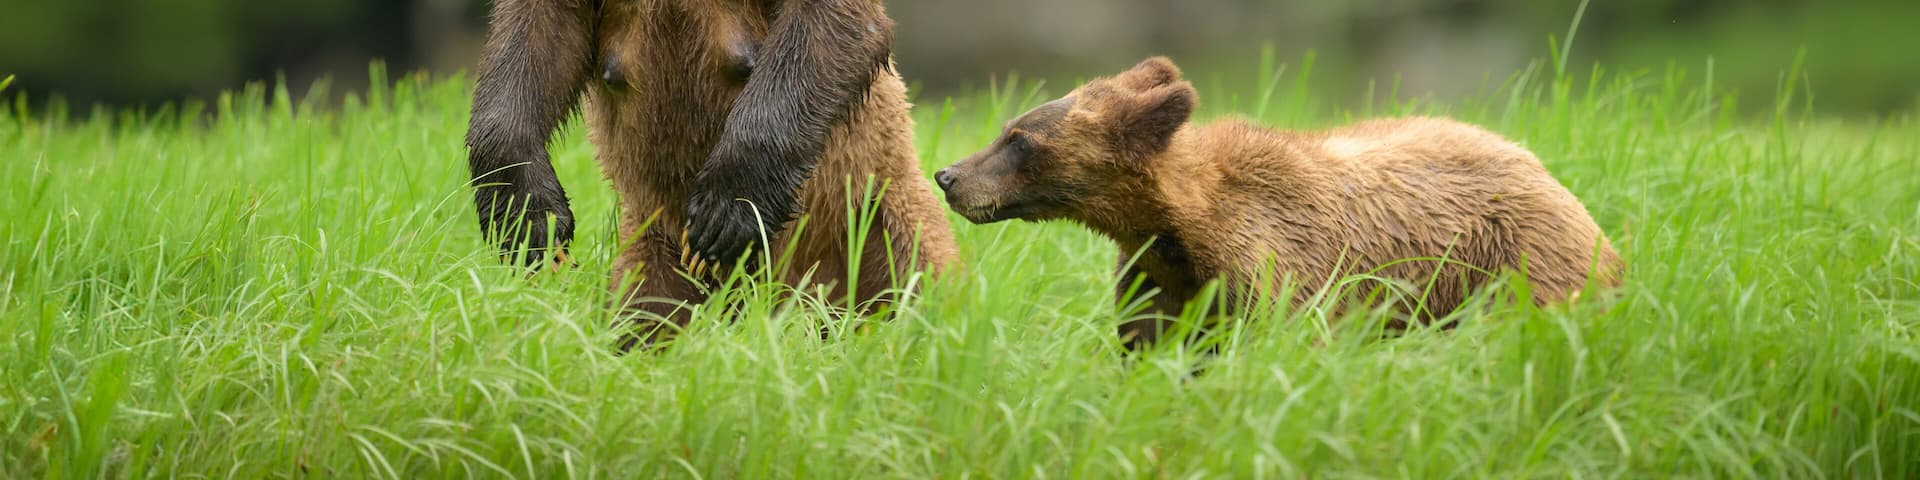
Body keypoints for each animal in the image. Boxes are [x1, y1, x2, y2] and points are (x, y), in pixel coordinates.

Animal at [464, 0, 958, 350]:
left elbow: (825, 28)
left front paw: (725, 214)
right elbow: (534, 39)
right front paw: (528, 218)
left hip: (872, 217)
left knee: (916, 281)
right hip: (654, 245)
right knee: (647, 311)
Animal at [934, 57, 1623, 350]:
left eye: (1020, 138)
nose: (948, 175)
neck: (1182, 226)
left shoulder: (1278, 259)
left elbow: (1284, 334)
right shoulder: (1157, 275)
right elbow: (1151, 343)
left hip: (1519, 262)